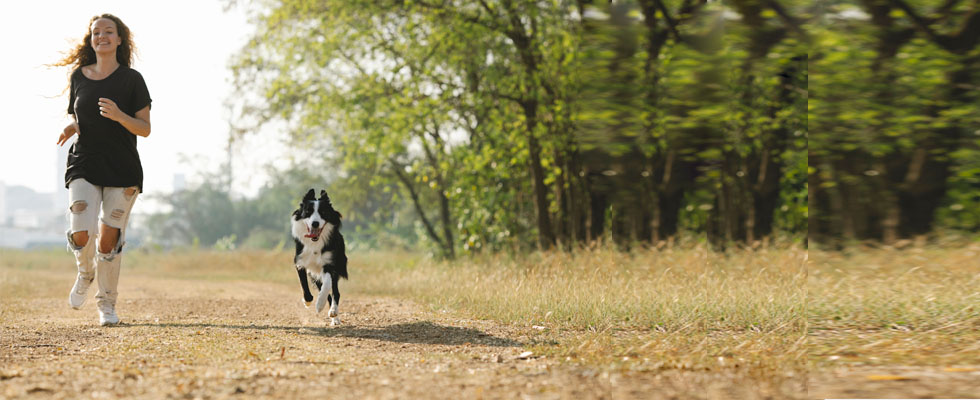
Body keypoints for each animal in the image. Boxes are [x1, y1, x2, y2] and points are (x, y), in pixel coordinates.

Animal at [290, 188, 348, 324]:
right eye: (308, 212)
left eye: (323, 212)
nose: (315, 223)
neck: (315, 243)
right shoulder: (300, 262)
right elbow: (304, 285)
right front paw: (307, 301)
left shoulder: (329, 264)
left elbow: (327, 285)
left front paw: (319, 305)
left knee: (335, 292)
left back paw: (334, 314)